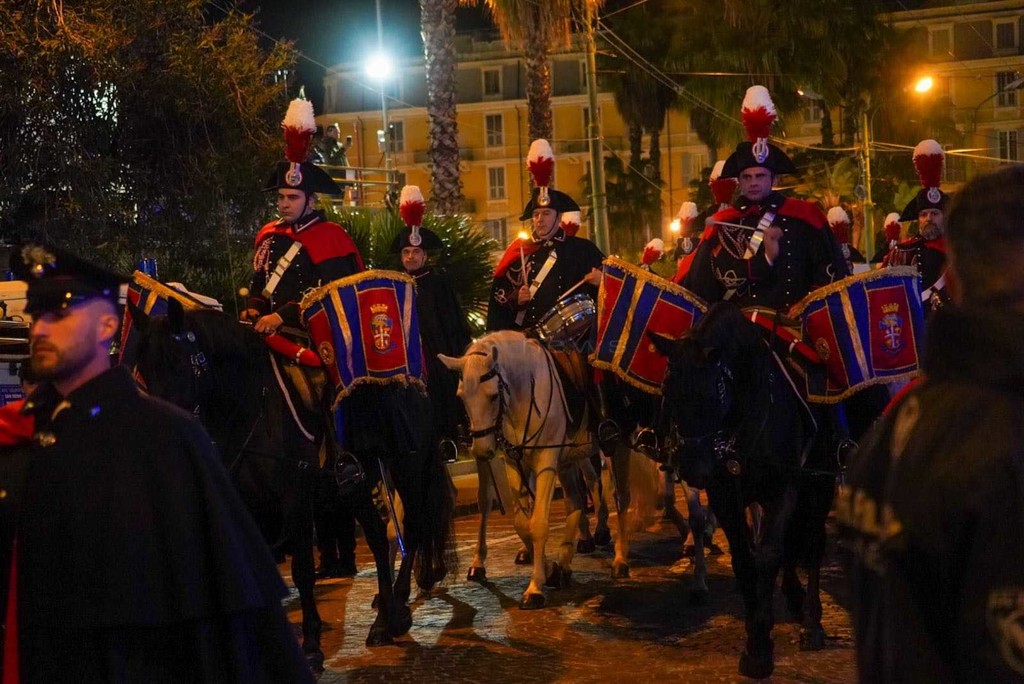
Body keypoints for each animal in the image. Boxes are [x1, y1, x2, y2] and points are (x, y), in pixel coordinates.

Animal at [129, 299, 457, 660]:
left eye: (177, 363)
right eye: (143, 370)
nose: (160, 438)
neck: (248, 406)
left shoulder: (295, 498)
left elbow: (301, 569)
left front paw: (311, 643)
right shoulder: (247, 504)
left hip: (408, 465)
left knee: (411, 528)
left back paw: (397, 610)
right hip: (355, 485)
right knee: (376, 535)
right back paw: (383, 622)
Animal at [440, 330, 602, 608]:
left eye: (493, 395)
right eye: (462, 396)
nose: (481, 449)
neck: (525, 394)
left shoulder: (546, 460)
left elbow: (538, 522)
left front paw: (535, 588)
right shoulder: (514, 462)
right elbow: (521, 522)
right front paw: (548, 567)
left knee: (601, 484)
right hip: (568, 459)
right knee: (576, 498)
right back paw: (569, 554)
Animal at [651, 302, 838, 679]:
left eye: (713, 394)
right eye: (668, 390)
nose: (693, 467)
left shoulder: (784, 489)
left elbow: (767, 555)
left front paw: (761, 647)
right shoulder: (726, 496)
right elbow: (744, 559)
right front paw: (755, 639)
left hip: (818, 488)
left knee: (812, 545)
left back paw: (811, 622)